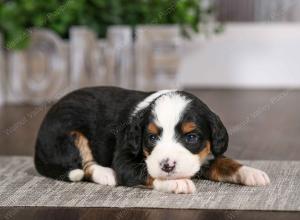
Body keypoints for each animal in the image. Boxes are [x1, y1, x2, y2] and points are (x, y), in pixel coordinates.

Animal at [34, 87, 270, 193]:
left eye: (191, 137)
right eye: (152, 137)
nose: (168, 165)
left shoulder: (205, 156)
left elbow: (225, 162)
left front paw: (251, 172)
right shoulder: (124, 160)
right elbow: (147, 172)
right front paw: (177, 182)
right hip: (69, 134)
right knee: (86, 164)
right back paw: (107, 173)